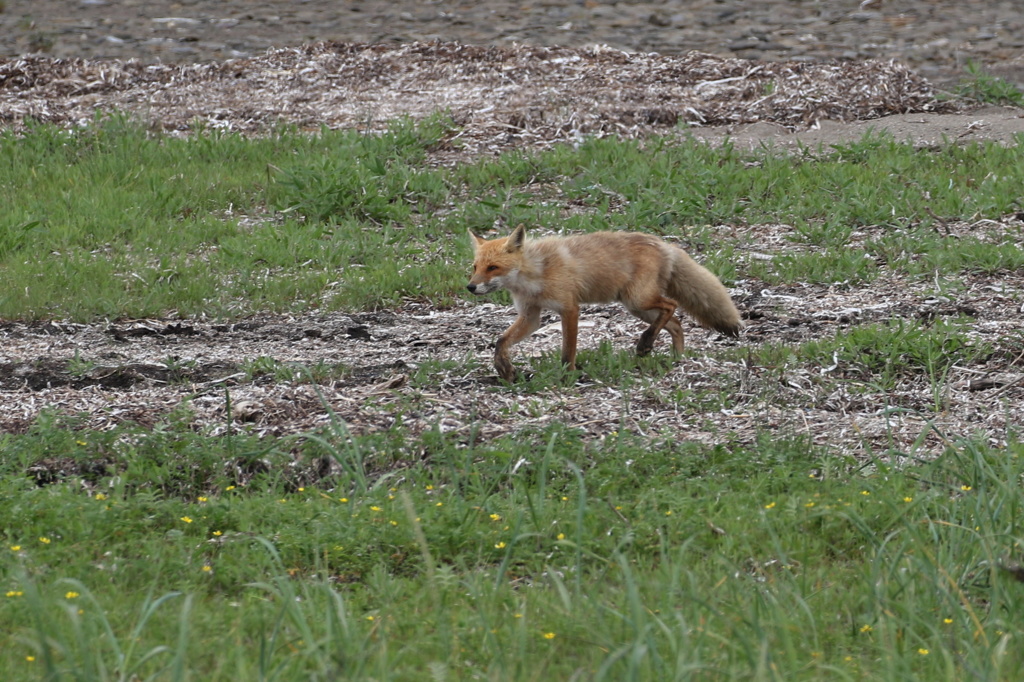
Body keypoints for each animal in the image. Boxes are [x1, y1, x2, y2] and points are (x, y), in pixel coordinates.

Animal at [468, 225, 741, 378]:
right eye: (475, 267)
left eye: (493, 267)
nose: (470, 287)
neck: (536, 272)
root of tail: (664, 244)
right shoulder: (530, 315)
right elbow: (501, 341)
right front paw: (503, 367)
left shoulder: (569, 308)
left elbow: (568, 350)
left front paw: (568, 376)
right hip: (637, 307)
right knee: (676, 323)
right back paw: (676, 357)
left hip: (637, 300)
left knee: (671, 306)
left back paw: (646, 343)